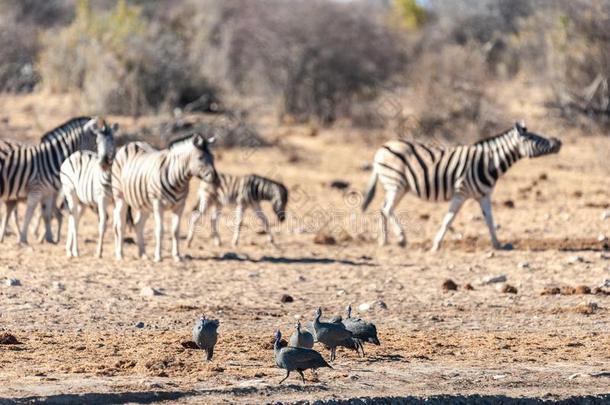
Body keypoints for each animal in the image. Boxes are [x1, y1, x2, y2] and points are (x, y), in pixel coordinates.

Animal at [60, 121, 119, 258]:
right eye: (97, 141)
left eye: (112, 140)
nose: (103, 162)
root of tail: (75, 154)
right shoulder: (102, 199)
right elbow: (102, 224)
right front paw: (99, 252)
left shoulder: (117, 200)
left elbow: (117, 225)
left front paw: (118, 252)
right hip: (70, 192)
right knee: (74, 218)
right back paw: (75, 251)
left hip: (83, 201)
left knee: (74, 219)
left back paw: (69, 249)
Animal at [111, 133, 216, 262]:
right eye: (200, 158)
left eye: (213, 157)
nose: (215, 177)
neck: (177, 179)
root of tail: (131, 143)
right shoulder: (158, 204)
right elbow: (160, 230)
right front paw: (158, 257)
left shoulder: (180, 206)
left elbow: (175, 231)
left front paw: (177, 256)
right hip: (120, 196)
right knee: (120, 225)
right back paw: (120, 255)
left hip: (143, 203)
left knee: (138, 224)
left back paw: (143, 254)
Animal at [360, 121, 560, 251]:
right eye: (533, 138)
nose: (558, 142)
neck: (488, 163)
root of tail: (382, 147)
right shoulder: (461, 192)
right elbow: (449, 219)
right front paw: (436, 244)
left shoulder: (484, 195)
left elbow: (490, 220)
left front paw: (498, 244)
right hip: (396, 183)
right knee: (387, 209)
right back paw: (401, 238)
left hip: (396, 185)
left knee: (383, 208)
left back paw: (384, 241)